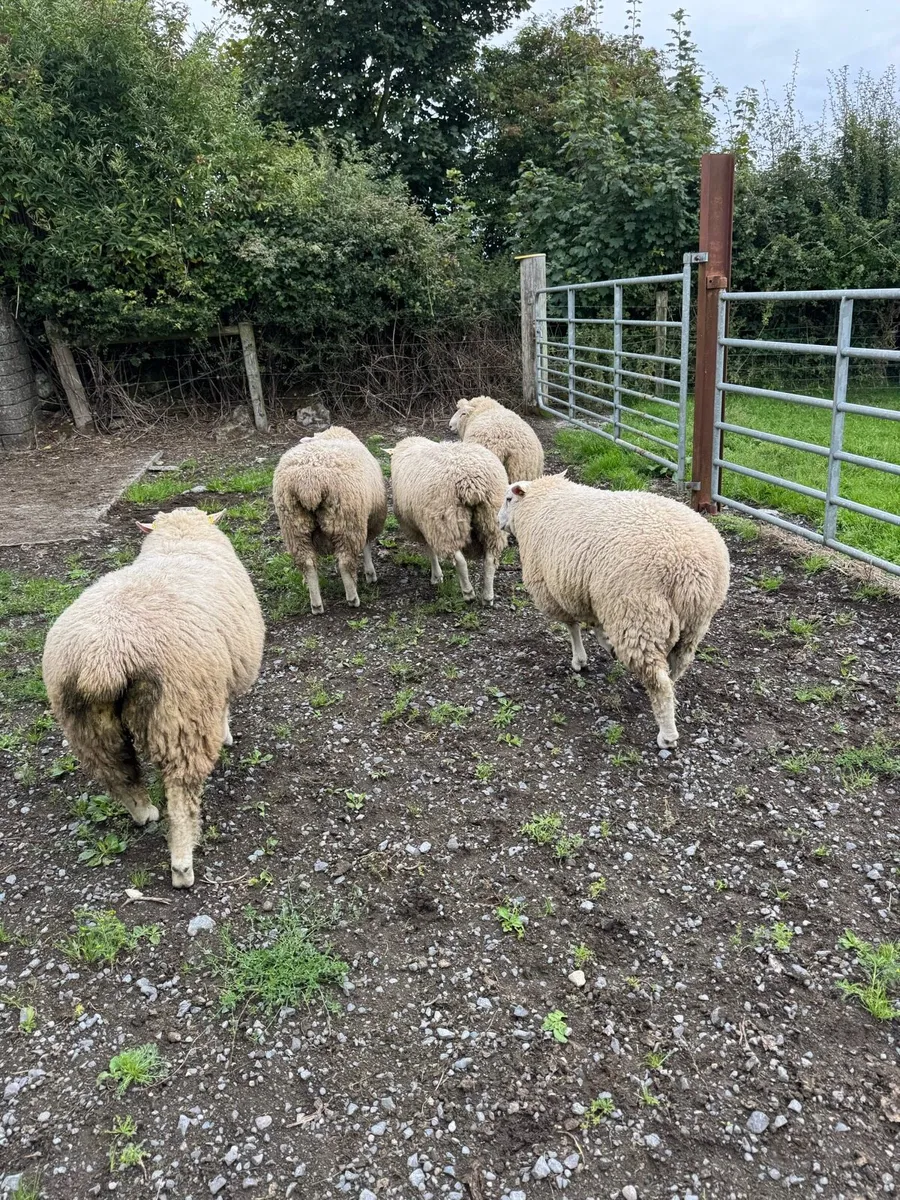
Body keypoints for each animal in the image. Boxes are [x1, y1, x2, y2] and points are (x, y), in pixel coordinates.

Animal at [42, 507, 265, 888]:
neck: (180, 540)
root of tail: (106, 655)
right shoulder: (218, 684)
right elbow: (224, 710)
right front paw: (227, 735)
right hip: (183, 714)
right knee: (180, 794)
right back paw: (182, 866)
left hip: (85, 721)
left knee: (118, 773)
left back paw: (144, 813)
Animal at [273, 426, 388, 613]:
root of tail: (309, 485)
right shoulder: (370, 518)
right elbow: (367, 546)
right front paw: (370, 573)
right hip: (347, 522)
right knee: (345, 562)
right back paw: (352, 598)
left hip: (293, 525)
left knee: (307, 563)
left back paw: (316, 603)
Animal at [389, 437, 508, 603]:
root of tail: (470, 482)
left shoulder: (424, 526)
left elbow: (430, 550)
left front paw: (436, 576)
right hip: (492, 518)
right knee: (490, 560)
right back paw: (487, 597)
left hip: (445, 522)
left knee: (460, 561)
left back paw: (468, 593)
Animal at [499, 474, 729, 748]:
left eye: (508, 499)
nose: (498, 522)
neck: (536, 506)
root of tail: (693, 572)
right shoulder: (594, 593)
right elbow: (596, 627)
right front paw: (607, 647)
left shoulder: (556, 590)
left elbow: (573, 627)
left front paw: (580, 660)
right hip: (694, 623)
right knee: (678, 665)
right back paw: (668, 698)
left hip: (638, 615)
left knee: (658, 680)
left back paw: (667, 734)